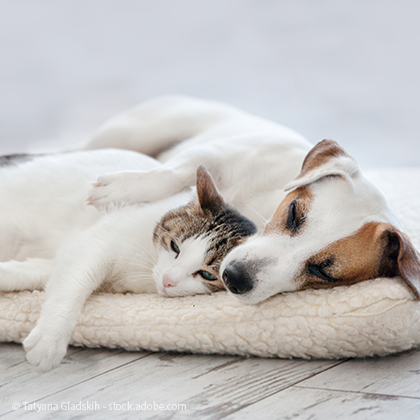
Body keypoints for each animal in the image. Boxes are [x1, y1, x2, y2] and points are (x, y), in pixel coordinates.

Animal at [0, 148, 256, 370]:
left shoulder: (71, 252)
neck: (143, 268)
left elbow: (39, 272)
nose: (167, 280)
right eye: (175, 246)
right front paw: (49, 340)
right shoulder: (92, 245)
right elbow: (72, 288)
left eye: (206, 274)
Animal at [85, 95, 420, 304]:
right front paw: (117, 188)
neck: (257, 209)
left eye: (323, 272)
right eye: (294, 213)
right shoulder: (218, 155)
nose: (234, 277)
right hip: (136, 132)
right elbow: (174, 172)